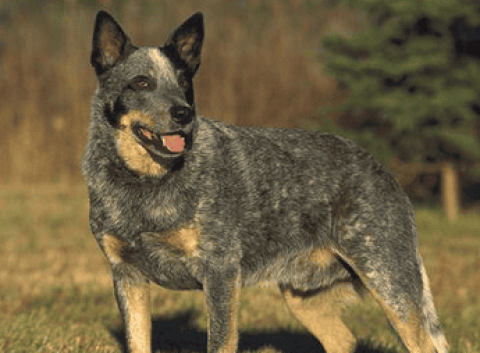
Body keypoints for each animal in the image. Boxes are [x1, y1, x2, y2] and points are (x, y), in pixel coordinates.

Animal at [80, 10, 448, 352]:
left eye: (184, 81)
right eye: (141, 82)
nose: (184, 112)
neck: (144, 184)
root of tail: (382, 170)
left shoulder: (220, 272)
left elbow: (220, 341)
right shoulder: (126, 275)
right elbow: (137, 341)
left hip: (389, 281)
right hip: (303, 296)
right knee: (343, 339)